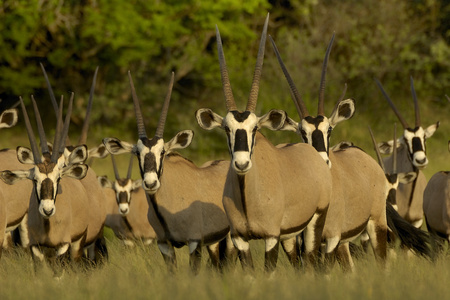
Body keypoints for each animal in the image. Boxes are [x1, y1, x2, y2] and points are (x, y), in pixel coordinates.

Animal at [0, 96, 104, 274]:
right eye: (34, 179)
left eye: (58, 178)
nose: (47, 210)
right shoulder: (36, 246)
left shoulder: (63, 246)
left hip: (79, 243)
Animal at [103, 71, 232, 274]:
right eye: (137, 153)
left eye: (163, 152)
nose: (150, 183)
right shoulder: (164, 244)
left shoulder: (194, 242)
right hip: (214, 243)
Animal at [195, 13, 332, 272]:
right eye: (226, 128)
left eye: (255, 129)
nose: (241, 164)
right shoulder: (240, 239)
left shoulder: (271, 237)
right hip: (290, 236)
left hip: (314, 222)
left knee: (312, 261)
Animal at [268, 34, 388, 270]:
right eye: (301, 132)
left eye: (329, 129)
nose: (322, 161)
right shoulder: (299, 240)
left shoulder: (332, 238)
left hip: (375, 223)